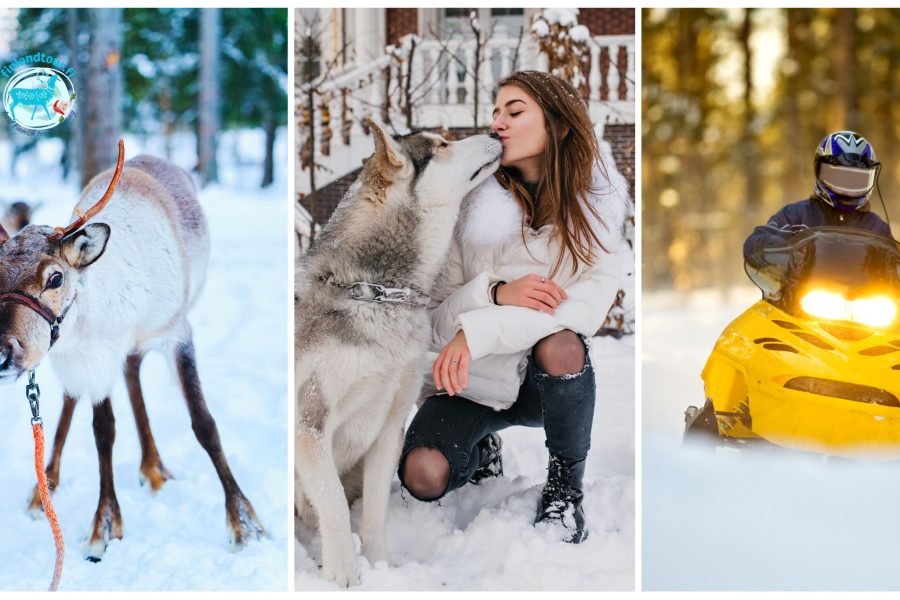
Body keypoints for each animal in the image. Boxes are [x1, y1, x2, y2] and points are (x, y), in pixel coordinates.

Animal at [298, 122, 502, 584]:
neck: (376, 292)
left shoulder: (389, 424)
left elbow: (374, 514)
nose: (497, 133)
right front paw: (343, 575)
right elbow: (333, 507)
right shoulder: (310, 425)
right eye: (442, 146)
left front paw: (379, 568)